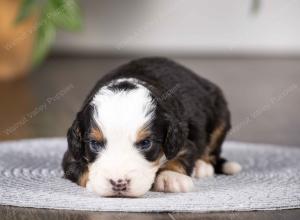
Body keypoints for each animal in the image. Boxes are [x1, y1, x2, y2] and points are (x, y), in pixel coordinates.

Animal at [61, 57, 241, 197]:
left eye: (145, 143)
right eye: (94, 144)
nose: (119, 183)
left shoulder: (183, 141)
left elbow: (181, 157)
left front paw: (171, 178)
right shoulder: (71, 155)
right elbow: (78, 169)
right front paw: (93, 182)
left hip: (221, 116)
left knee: (212, 151)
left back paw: (202, 166)